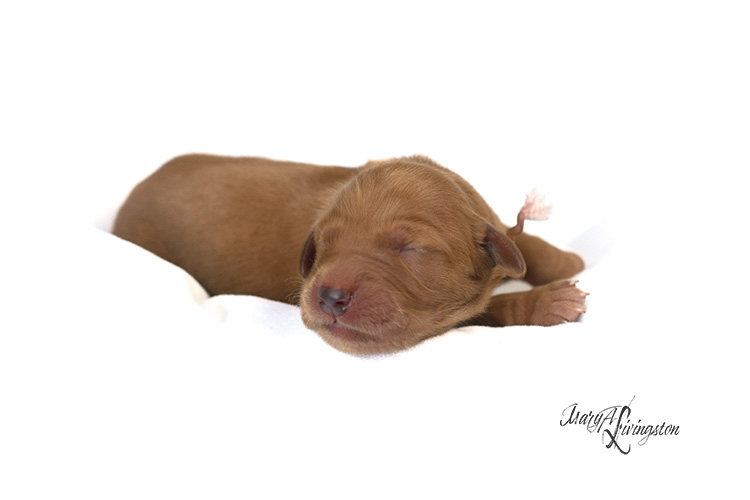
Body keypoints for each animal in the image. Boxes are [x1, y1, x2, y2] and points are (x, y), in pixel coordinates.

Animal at [114, 156, 592, 356]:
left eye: (410, 249)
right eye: (323, 243)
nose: (329, 296)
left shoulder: (486, 219)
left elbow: (514, 236)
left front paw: (566, 261)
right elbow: (486, 309)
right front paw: (549, 300)